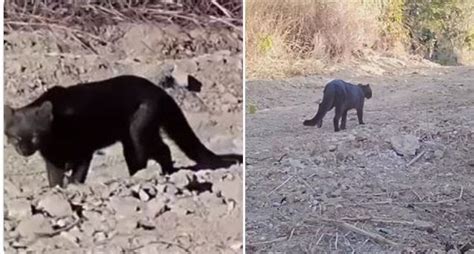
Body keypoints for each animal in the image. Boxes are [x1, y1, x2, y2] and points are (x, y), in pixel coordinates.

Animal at [6, 73, 244, 187]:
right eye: (16, 137)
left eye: (34, 136)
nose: (24, 150)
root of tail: (161, 92)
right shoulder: (53, 158)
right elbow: (54, 178)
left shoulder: (84, 148)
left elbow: (78, 174)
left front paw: (73, 187)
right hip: (131, 138)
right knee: (156, 152)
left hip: (138, 130)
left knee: (156, 151)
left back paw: (156, 175)